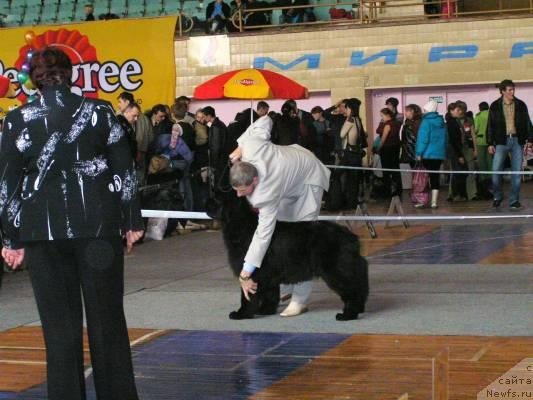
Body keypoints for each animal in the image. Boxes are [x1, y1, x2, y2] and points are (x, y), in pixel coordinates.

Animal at [206, 192, 368, 320]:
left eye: (216, 198)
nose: (205, 201)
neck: (241, 224)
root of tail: (352, 238)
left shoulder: (253, 273)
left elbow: (247, 297)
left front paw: (241, 314)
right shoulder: (268, 275)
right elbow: (270, 294)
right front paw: (265, 310)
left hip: (337, 271)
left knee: (352, 290)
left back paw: (348, 314)